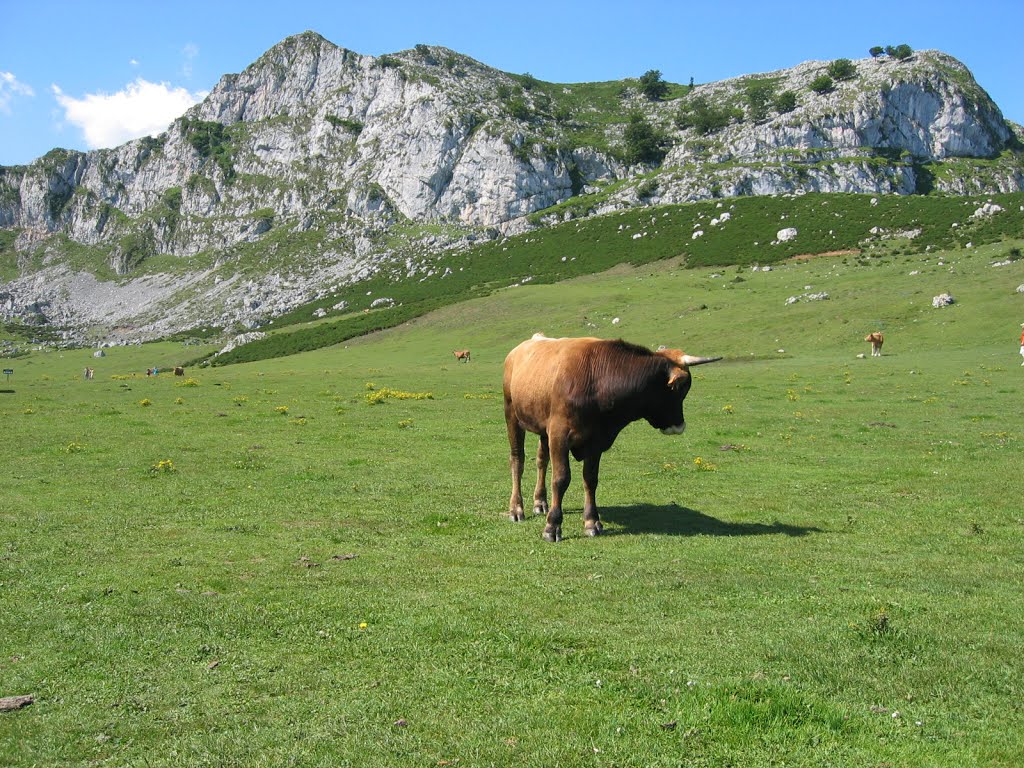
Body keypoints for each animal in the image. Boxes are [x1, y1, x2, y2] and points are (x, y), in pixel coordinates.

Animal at [503, 333, 720, 544]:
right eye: (681, 389)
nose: (680, 426)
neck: (598, 380)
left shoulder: (596, 441)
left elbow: (590, 479)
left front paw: (592, 521)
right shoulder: (559, 434)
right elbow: (561, 479)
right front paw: (552, 526)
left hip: (542, 426)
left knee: (542, 461)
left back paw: (540, 502)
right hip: (512, 415)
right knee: (517, 460)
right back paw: (516, 508)